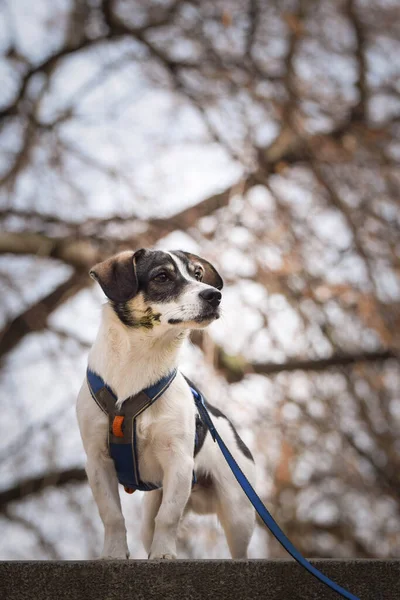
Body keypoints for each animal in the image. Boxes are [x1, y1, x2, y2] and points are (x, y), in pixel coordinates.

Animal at [76, 248, 255, 556]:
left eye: (198, 274)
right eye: (162, 276)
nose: (214, 295)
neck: (140, 361)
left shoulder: (179, 462)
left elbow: (169, 517)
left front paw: (163, 554)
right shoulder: (98, 460)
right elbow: (112, 515)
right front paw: (114, 553)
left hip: (237, 510)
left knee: (239, 552)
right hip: (152, 509)